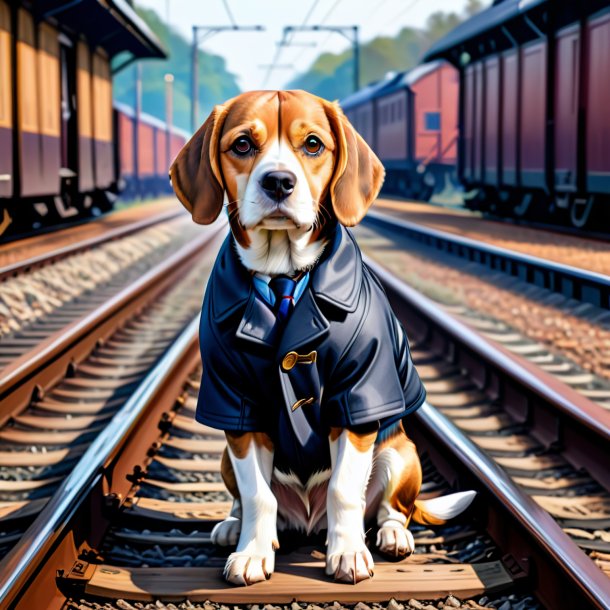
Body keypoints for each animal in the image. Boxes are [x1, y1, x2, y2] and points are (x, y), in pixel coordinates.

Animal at [169, 90, 472, 584]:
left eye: (312, 144)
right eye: (242, 144)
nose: (278, 182)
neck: (283, 273)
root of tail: (308, 522)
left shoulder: (359, 399)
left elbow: (344, 489)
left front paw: (348, 554)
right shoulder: (237, 409)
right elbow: (257, 494)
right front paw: (252, 553)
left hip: (401, 453)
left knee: (393, 508)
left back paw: (392, 536)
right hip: (225, 458)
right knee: (248, 500)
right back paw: (233, 526)